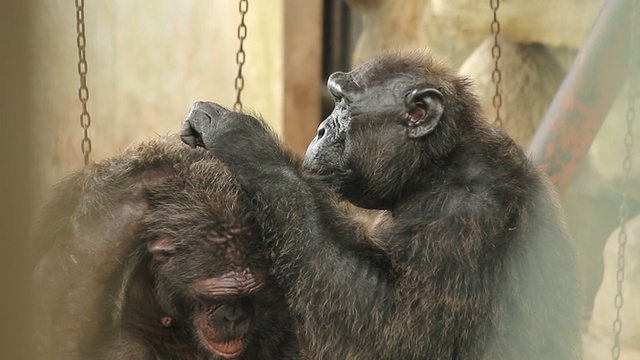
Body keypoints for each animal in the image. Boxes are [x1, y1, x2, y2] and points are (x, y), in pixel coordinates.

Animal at [181, 49, 584, 358]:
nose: (321, 129)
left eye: (344, 104)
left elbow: (397, 335)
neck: (436, 168)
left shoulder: (462, 220)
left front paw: (245, 143)